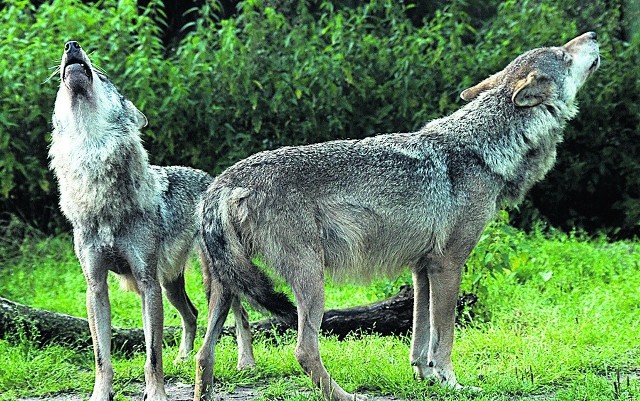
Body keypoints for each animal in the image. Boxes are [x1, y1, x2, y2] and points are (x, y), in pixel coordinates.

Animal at [47, 40, 258, 400]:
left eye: (102, 75)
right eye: (61, 84)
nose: (71, 45)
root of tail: (211, 180)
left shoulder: (147, 284)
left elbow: (152, 353)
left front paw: (156, 393)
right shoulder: (96, 286)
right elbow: (102, 357)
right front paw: (101, 394)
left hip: (207, 279)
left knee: (238, 315)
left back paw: (246, 362)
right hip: (171, 284)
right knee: (192, 315)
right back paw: (184, 358)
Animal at [195, 32, 600, 400]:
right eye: (562, 55)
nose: (593, 35)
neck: (483, 150)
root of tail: (223, 182)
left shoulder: (422, 268)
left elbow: (420, 339)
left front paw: (427, 378)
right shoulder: (449, 264)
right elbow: (445, 337)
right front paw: (453, 383)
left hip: (226, 289)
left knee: (204, 354)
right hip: (310, 281)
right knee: (304, 350)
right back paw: (346, 396)